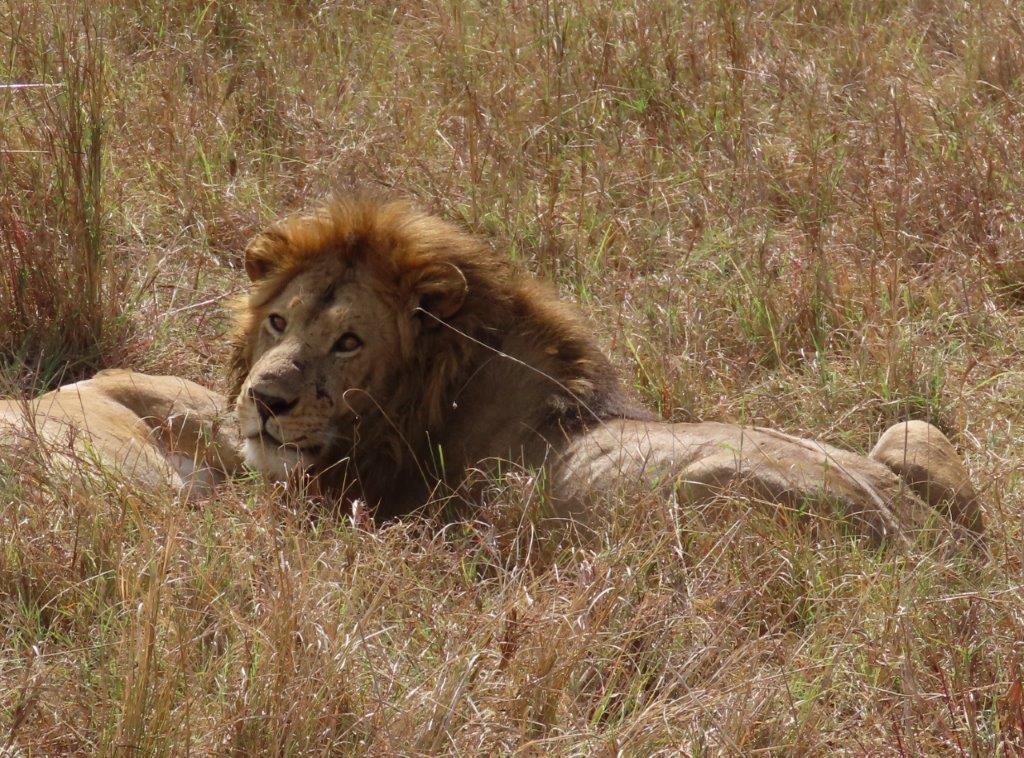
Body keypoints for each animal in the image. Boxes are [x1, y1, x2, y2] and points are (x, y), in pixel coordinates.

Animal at [230, 197, 984, 549]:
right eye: (278, 322)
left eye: (349, 341)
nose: (264, 399)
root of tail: (928, 544)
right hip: (910, 431)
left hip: (701, 487)